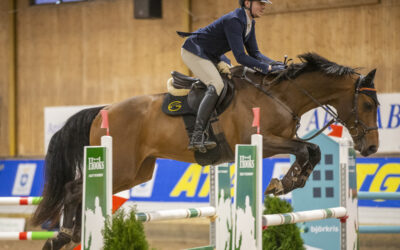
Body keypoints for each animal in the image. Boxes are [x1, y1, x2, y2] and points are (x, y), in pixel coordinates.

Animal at [32, 52, 380, 248]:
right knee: (74, 188)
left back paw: (70, 236)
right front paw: (281, 184)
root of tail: (103, 110)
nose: (372, 147)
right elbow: (307, 149)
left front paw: (287, 182)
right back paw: (65, 235)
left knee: (79, 191)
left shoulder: (279, 140)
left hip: (136, 172)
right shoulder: (262, 141)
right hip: (119, 165)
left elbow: (311, 150)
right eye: (366, 105)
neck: (280, 95)